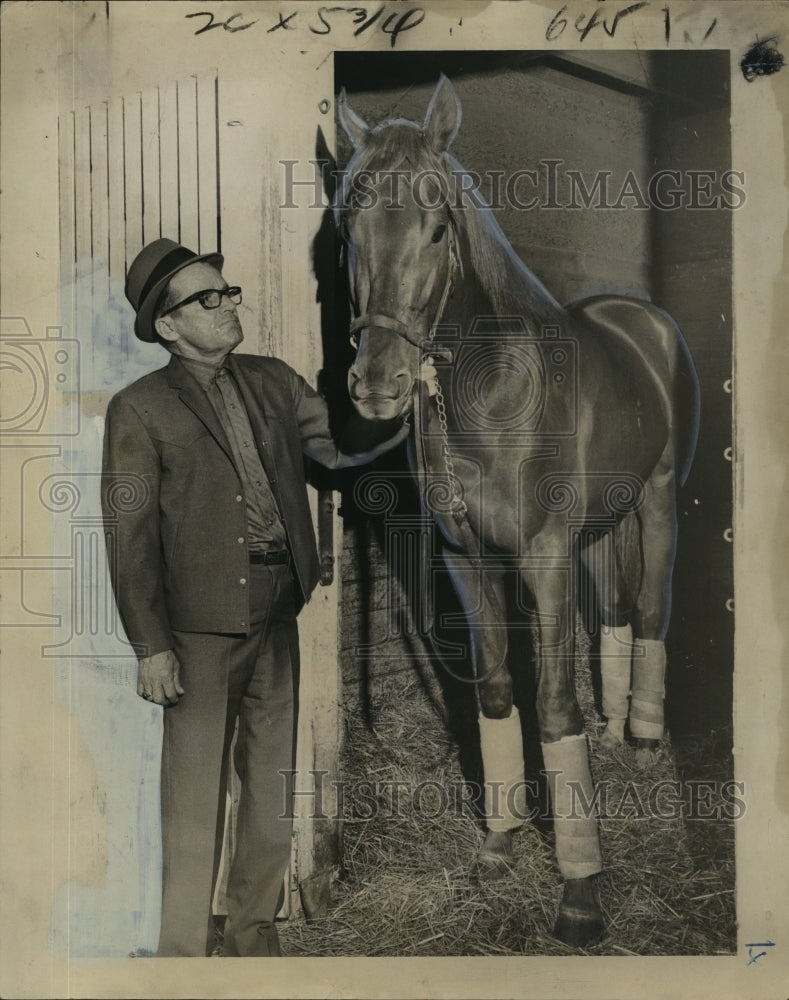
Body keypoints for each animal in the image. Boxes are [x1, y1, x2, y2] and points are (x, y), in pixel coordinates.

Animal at [332, 72, 696, 944]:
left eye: (437, 228)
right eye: (348, 224)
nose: (377, 385)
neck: (489, 394)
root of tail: (643, 319)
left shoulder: (541, 558)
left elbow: (554, 710)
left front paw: (579, 893)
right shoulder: (467, 560)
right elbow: (496, 690)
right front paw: (499, 844)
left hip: (658, 501)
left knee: (648, 607)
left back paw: (640, 738)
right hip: (601, 523)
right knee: (614, 616)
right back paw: (616, 725)